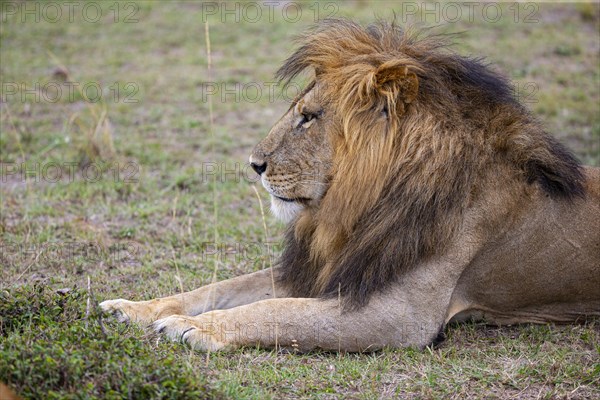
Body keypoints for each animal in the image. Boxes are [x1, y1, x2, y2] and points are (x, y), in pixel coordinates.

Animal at [101, 19, 596, 350]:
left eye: (308, 117)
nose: (254, 164)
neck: (360, 204)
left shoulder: (398, 317)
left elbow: (277, 311)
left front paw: (196, 327)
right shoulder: (329, 269)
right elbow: (218, 288)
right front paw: (134, 308)